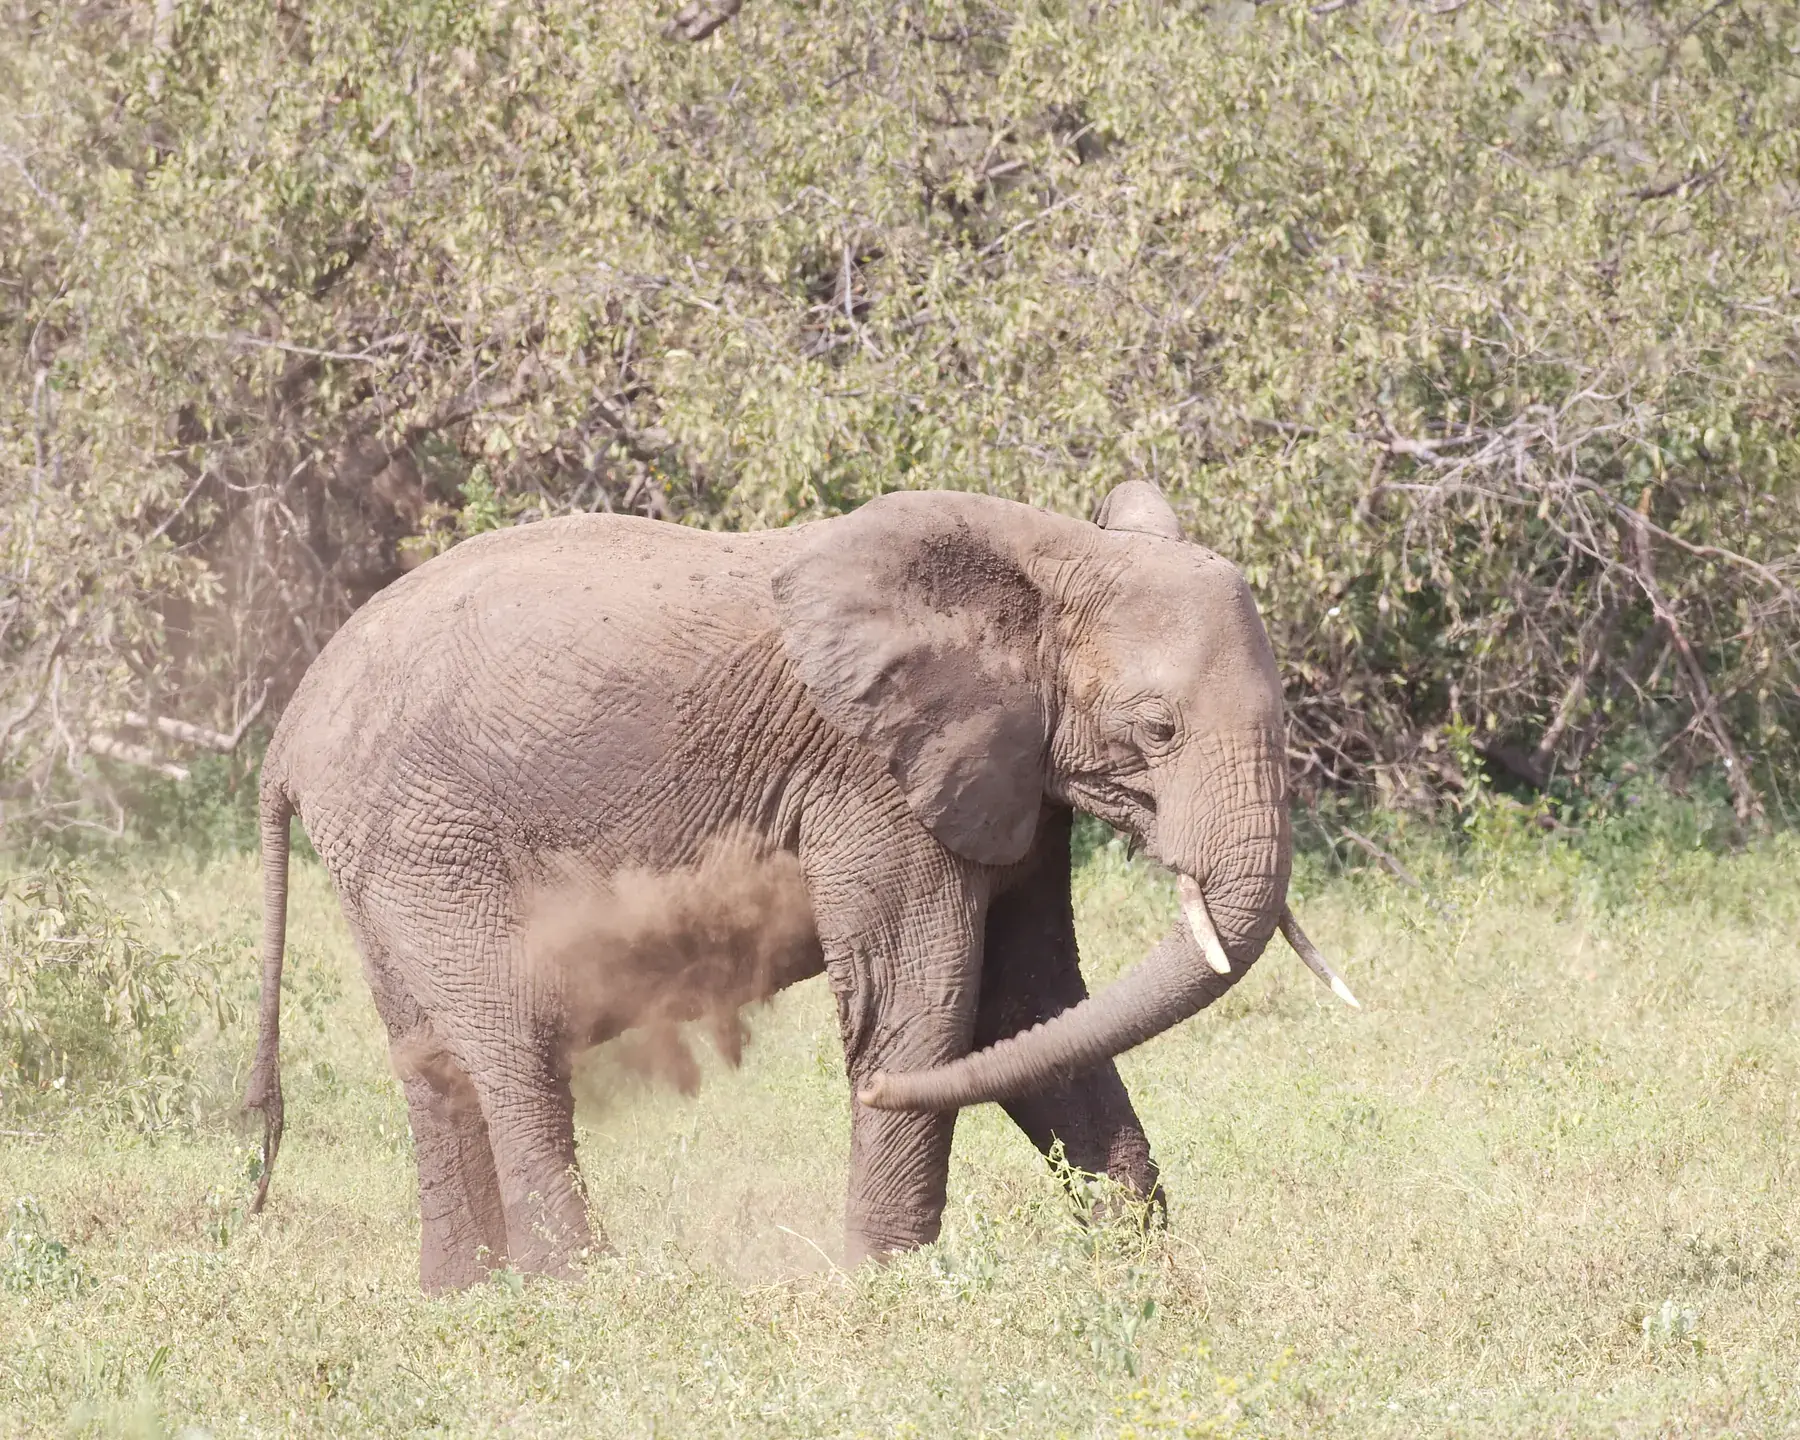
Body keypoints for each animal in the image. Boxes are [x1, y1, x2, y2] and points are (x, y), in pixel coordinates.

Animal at [242, 480, 1356, 1291]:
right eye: (1159, 728)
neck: (1042, 560)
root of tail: (289, 731)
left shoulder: (1010, 775)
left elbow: (1032, 1012)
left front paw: (1143, 1274)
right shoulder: (873, 779)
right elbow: (926, 1008)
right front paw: (885, 1292)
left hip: (390, 855)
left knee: (433, 1062)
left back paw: (465, 1296)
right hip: (430, 837)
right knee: (510, 1040)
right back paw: (582, 1292)